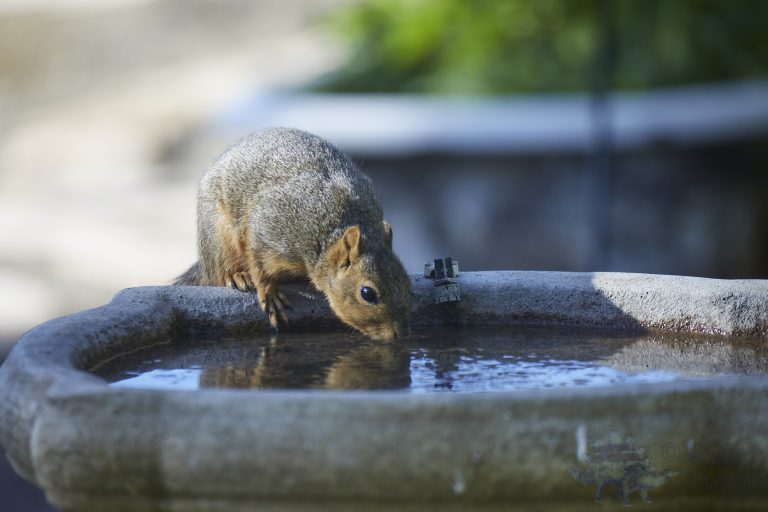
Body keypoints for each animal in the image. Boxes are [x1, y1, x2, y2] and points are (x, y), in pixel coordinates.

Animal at [175, 127, 412, 341]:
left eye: (407, 284)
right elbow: (259, 265)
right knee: (219, 270)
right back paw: (237, 275)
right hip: (218, 234)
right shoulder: (270, 228)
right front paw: (269, 294)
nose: (398, 334)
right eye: (367, 293)